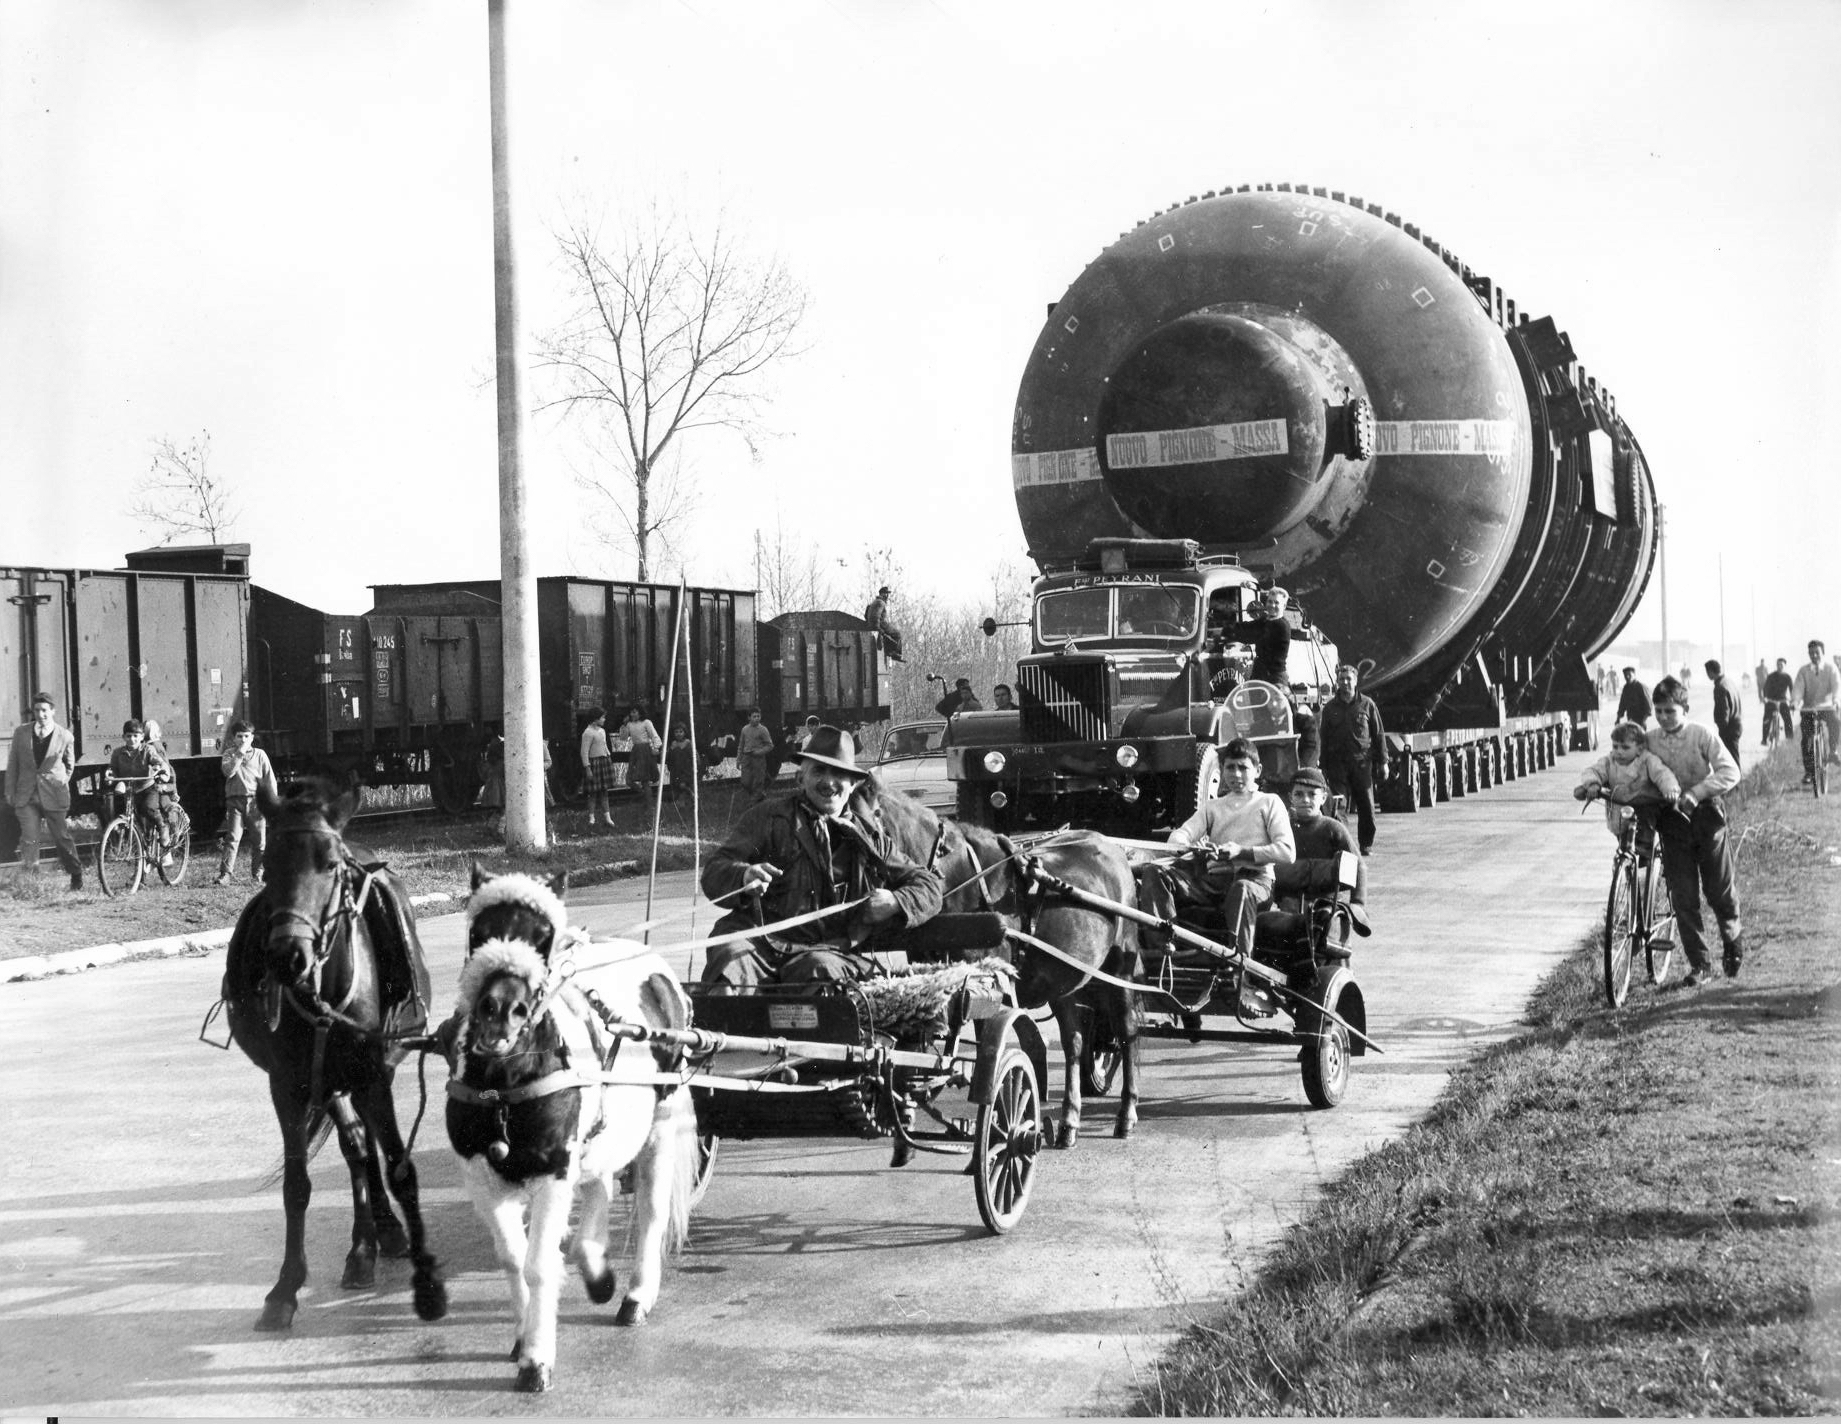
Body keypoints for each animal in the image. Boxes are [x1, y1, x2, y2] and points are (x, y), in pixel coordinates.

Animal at [220, 773, 447, 1326]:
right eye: (267, 864)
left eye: (329, 863)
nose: (287, 956)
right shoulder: (288, 1085)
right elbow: (297, 1184)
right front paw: (284, 1288)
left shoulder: (373, 1076)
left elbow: (401, 1169)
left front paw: (427, 1283)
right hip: (329, 1084)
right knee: (356, 1147)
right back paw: (368, 1242)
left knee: (366, 1146)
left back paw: (379, 1237)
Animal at [449, 865, 699, 1385]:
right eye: (479, 933)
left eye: (543, 939)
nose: (501, 1009)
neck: (505, 1084)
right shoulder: (482, 1175)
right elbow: (513, 1258)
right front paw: (524, 1334)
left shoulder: (552, 1171)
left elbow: (539, 1264)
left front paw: (537, 1358)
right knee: (601, 1187)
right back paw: (597, 1270)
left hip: (660, 1127)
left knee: (650, 1213)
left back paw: (636, 1295)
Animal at [857, 777, 1134, 1142]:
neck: (958, 879)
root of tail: (1113, 847)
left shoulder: (989, 985)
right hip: (1065, 978)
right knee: (1073, 1042)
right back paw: (1069, 1120)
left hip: (1120, 967)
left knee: (1127, 1032)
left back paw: (1126, 1112)